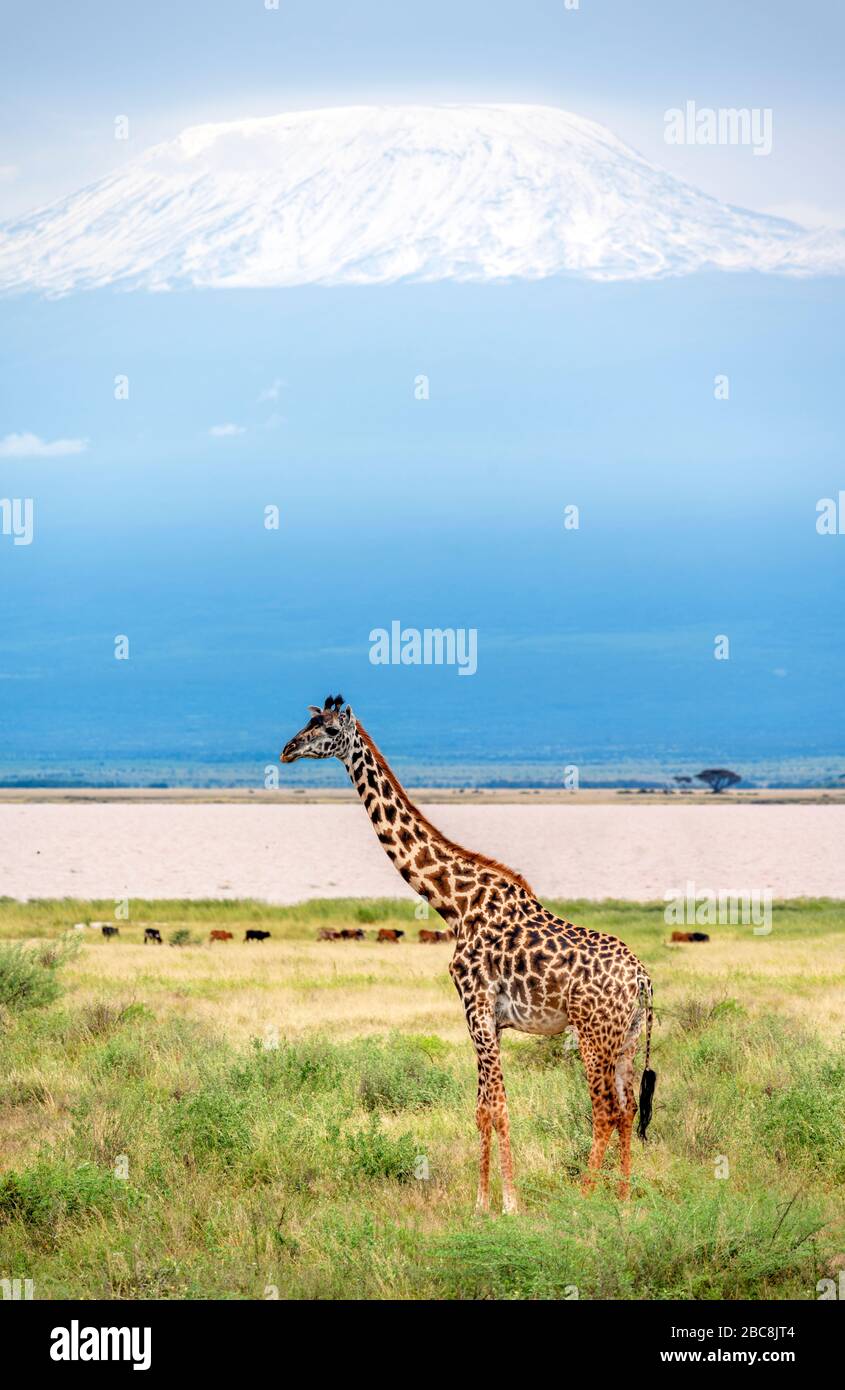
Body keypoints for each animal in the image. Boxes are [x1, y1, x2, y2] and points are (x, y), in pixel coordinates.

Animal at [280, 692, 655, 1206]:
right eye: (308, 723)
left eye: (328, 730)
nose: (287, 750)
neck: (454, 905)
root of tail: (641, 977)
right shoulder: (490, 1020)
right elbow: (483, 1108)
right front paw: (481, 1203)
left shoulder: (477, 1008)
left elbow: (497, 1106)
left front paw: (510, 1204)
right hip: (627, 1036)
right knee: (628, 1107)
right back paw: (620, 1199)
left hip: (593, 1033)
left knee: (604, 1110)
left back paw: (583, 1198)